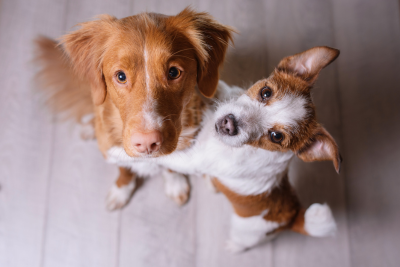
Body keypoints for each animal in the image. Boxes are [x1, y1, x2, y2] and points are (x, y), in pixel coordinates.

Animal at [35, 7, 234, 209]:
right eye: (121, 76)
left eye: (173, 72)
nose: (147, 143)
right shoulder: (113, 152)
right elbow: (124, 171)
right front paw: (121, 190)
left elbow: (171, 166)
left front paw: (175, 184)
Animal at [108, 46, 342, 253]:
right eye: (266, 92)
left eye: (276, 137)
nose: (229, 124)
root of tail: (293, 215)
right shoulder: (229, 94)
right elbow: (222, 88)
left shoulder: (193, 160)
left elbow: (164, 157)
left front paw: (119, 153)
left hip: (247, 232)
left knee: (245, 243)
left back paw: (233, 246)